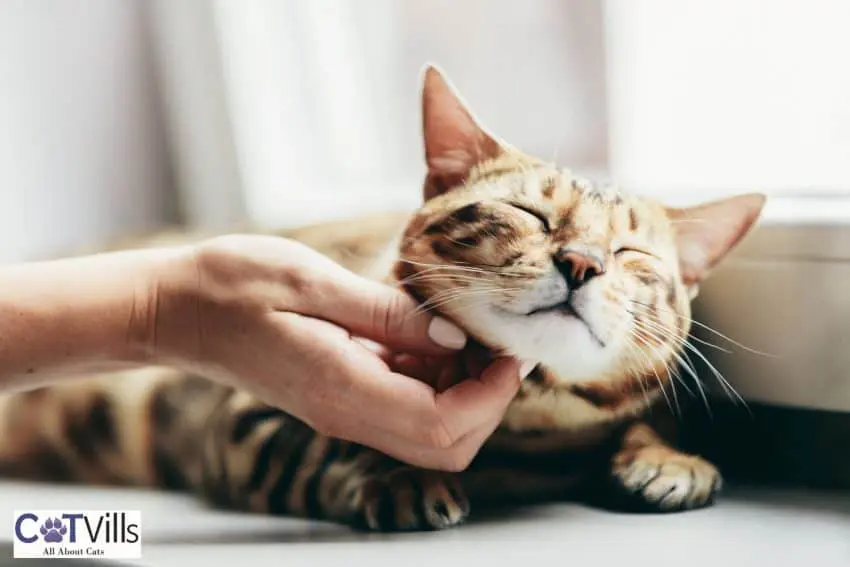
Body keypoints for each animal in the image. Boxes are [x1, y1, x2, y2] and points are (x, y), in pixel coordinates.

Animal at [0, 66, 764, 532]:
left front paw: (668, 457)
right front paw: (396, 475)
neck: (525, 431)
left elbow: (644, 417)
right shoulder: (238, 418)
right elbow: (315, 450)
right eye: (530, 214)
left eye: (632, 256)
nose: (582, 262)